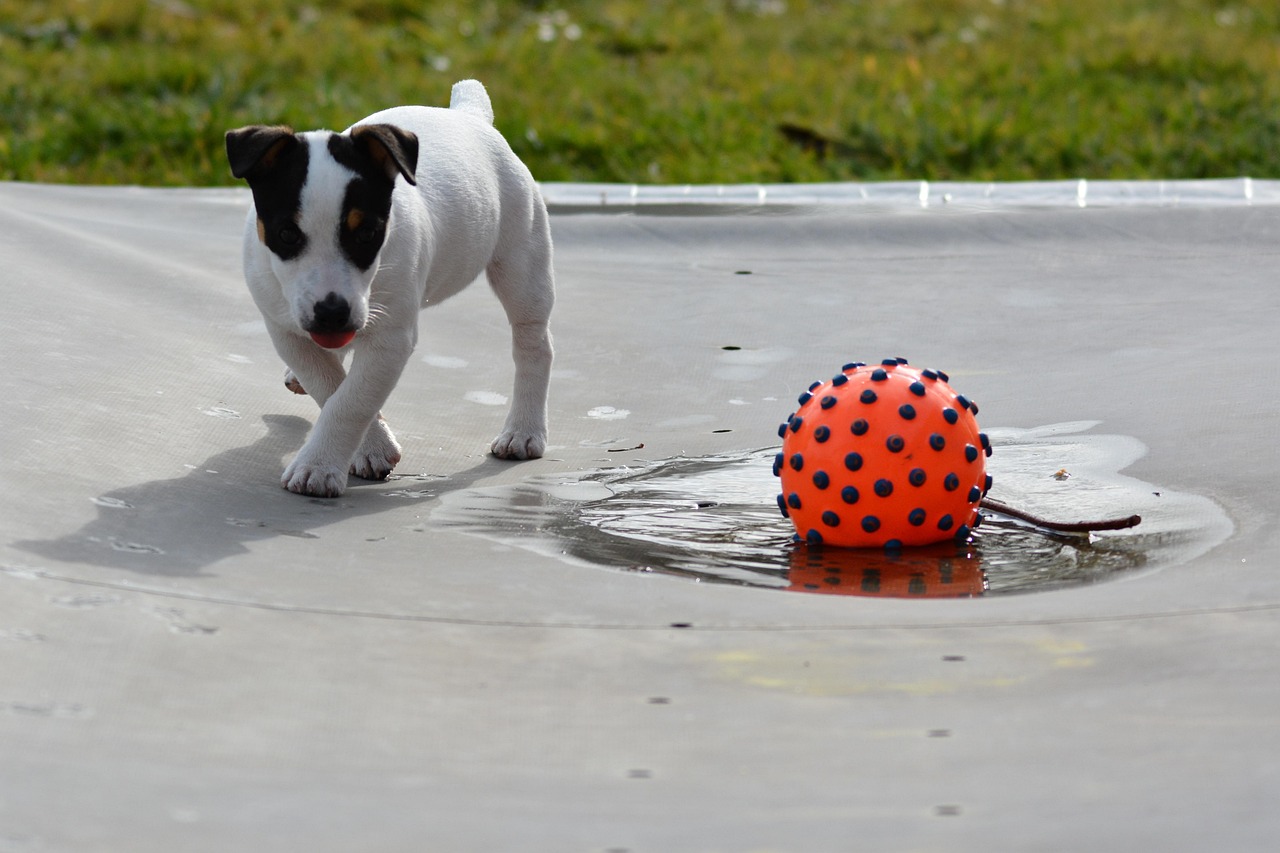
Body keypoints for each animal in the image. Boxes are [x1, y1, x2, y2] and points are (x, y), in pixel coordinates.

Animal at [226, 80, 555, 499]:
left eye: (367, 233)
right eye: (286, 234)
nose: (332, 313)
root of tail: (469, 116)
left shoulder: (390, 338)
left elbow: (352, 399)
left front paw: (320, 466)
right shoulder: (288, 331)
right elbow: (329, 385)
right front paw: (370, 446)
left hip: (522, 264)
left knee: (534, 346)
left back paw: (524, 432)